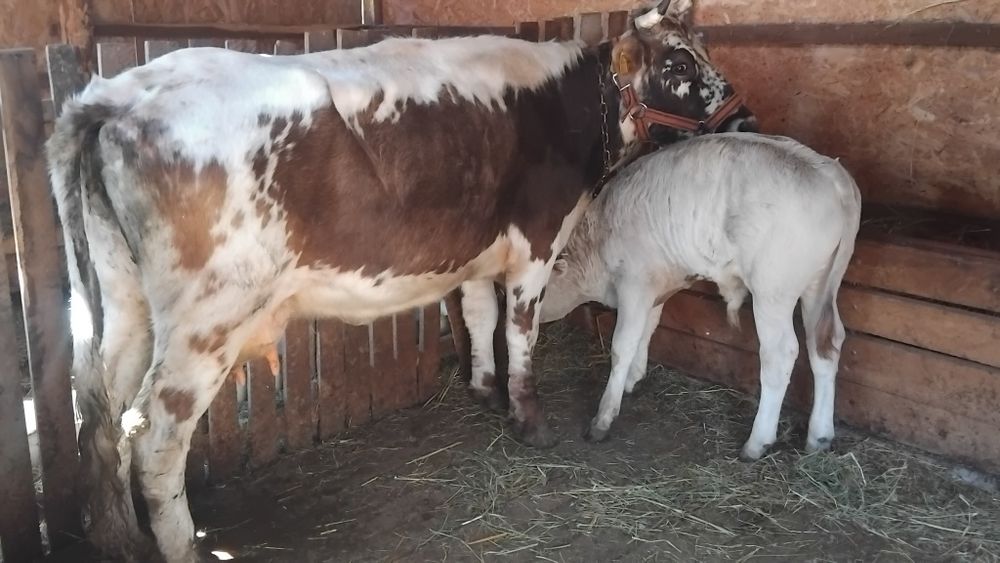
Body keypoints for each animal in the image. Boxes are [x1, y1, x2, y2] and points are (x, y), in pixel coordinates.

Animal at [46, 0, 754, 560]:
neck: (571, 106)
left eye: (706, 51)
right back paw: (180, 546)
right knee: (155, 438)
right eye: (679, 66)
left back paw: (116, 539)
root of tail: (122, 91)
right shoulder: (536, 242)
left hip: (123, 303)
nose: (745, 122)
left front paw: (483, 390)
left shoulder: (477, 249)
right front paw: (529, 420)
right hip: (208, 319)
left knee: (100, 417)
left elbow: (478, 316)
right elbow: (520, 333)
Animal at [535, 133, 862, 460]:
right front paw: (633, 378)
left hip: (773, 291)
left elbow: (622, 346)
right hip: (819, 286)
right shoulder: (656, 286)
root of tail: (831, 175)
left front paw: (604, 416)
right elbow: (646, 331)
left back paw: (757, 441)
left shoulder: (634, 284)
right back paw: (819, 436)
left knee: (780, 353)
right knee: (825, 345)